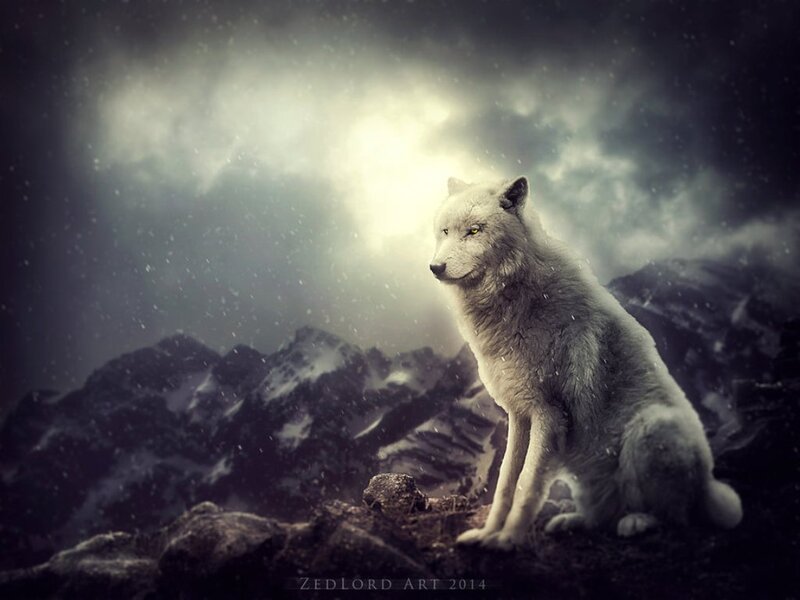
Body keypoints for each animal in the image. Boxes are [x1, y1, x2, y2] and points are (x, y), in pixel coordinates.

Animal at [430, 176, 742, 551]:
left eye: (474, 231)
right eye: (445, 231)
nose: (435, 268)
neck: (517, 298)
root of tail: (708, 486)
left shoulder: (549, 415)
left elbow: (528, 485)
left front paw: (507, 540)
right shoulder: (519, 415)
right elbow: (506, 482)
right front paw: (487, 534)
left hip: (650, 428)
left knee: (675, 519)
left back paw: (637, 521)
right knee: (601, 519)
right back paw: (572, 521)